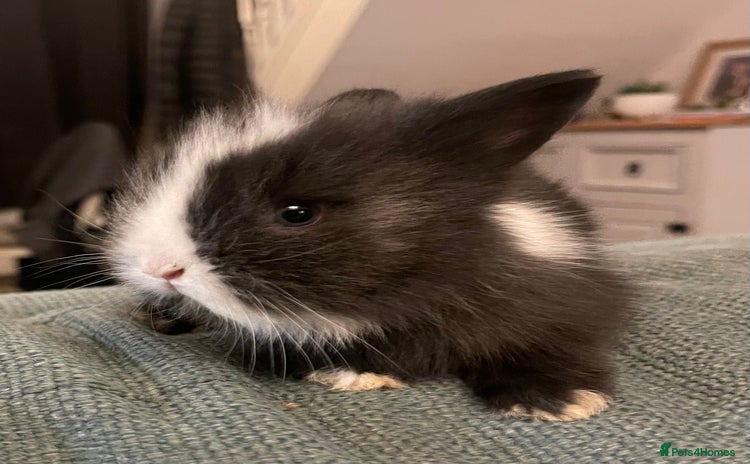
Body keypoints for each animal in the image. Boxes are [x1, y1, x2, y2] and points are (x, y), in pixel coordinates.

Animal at [106, 70, 632, 422]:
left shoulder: (570, 293)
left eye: (297, 212)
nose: (159, 268)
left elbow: (554, 341)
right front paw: (349, 372)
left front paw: (558, 401)